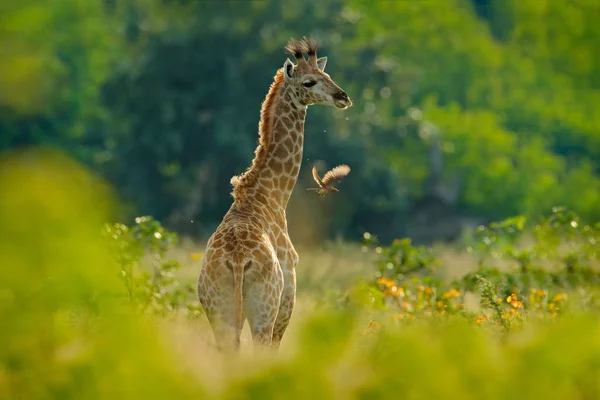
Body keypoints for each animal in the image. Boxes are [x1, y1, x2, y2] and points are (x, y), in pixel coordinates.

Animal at [197, 36, 352, 352]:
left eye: (327, 74)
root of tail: (237, 260)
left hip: (220, 312)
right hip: (264, 313)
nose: (343, 96)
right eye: (308, 81)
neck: (271, 196)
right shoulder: (286, 304)